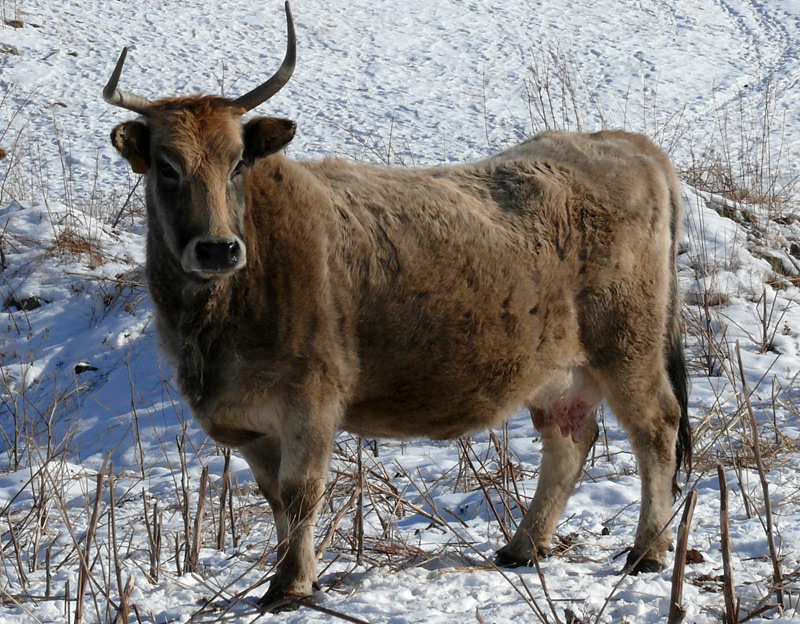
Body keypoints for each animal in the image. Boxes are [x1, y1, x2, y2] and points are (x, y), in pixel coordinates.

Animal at [103, 2, 692, 612]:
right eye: (166, 167)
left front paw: (291, 585)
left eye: (238, 162)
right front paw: (288, 576)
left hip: (629, 346)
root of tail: (624, 143)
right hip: (555, 370)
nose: (218, 248)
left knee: (656, 429)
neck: (213, 323)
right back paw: (522, 546)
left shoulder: (312, 399)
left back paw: (647, 551)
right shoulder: (250, 422)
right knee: (569, 442)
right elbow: (274, 498)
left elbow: (300, 492)